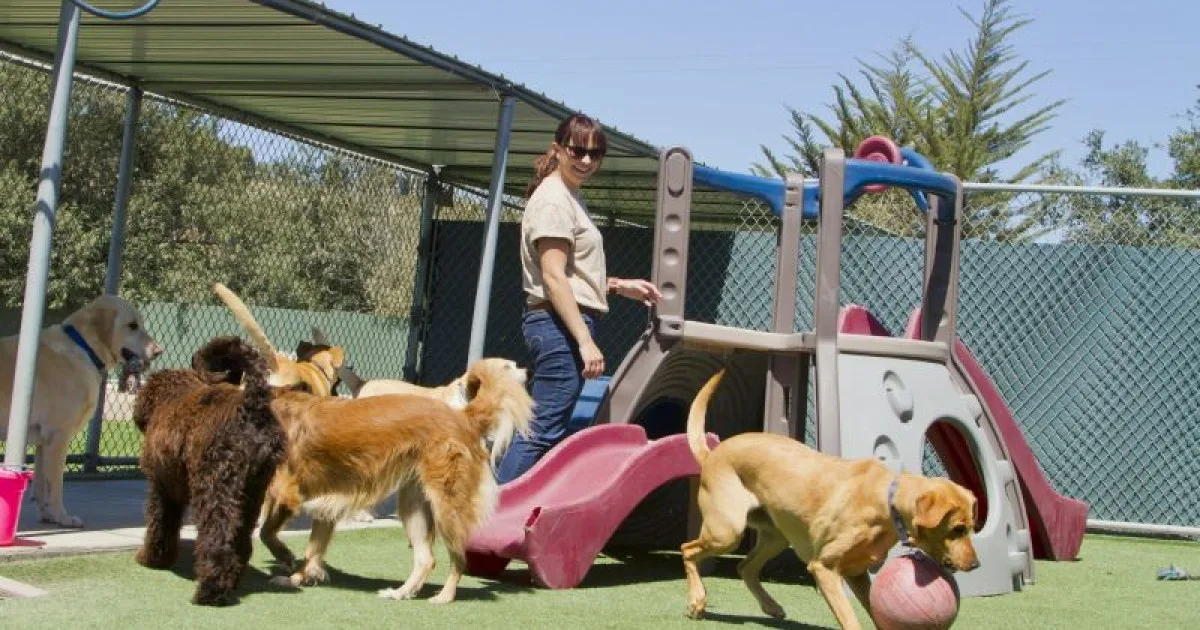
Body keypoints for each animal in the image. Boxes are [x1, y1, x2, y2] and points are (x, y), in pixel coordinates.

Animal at [0, 295, 162, 525]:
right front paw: (62, 517)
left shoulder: (43, 441)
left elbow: (41, 485)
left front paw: (48, 515)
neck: (84, 347)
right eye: (132, 325)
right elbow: (55, 485)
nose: (158, 351)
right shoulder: (58, 437)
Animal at [133, 333, 288, 604]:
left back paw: (210, 590)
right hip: (252, 492)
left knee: (218, 537)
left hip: (215, 487)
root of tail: (252, 406)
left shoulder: (162, 489)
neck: (172, 396)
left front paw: (151, 558)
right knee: (241, 539)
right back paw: (232, 581)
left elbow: (159, 525)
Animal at [256, 355, 530, 602]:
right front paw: (299, 578)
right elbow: (313, 550)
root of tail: (463, 416)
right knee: (426, 559)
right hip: (414, 505)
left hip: (446, 506)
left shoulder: (287, 493)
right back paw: (401, 592)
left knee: (458, 557)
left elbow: (267, 532)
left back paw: (444, 596)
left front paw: (286, 558)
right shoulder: (325, 507)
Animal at [681, 369, 979, 628]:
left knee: (745, 567)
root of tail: (712, 454)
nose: (975, 564)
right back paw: (697, 600)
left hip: (775, 535)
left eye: (971, 528)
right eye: (957, 529)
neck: (885, 500)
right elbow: (850, 618)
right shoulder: (825, 568)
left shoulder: (858, 573)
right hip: (727, 531)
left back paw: (771, 606)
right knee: (688, 549)